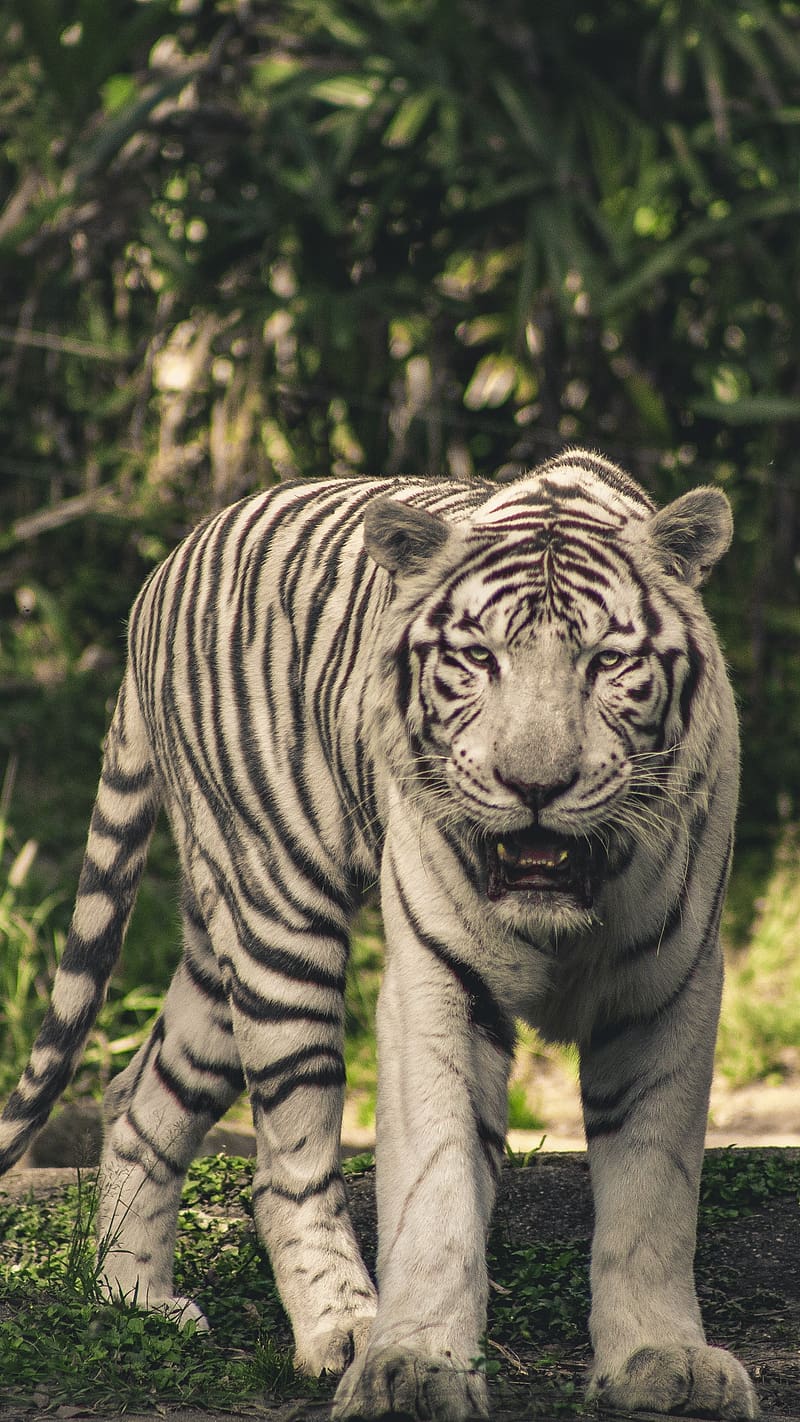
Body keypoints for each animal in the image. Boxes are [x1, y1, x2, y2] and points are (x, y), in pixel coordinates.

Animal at [0, 449, 755, 1416]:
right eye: (478, 659)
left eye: (608, 662)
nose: (535, 785)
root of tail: (160, 573)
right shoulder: (434, 981)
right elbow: (435, 1187)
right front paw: (413, 1365)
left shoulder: (669, 987)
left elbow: (654, 1194)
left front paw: (662, 1360)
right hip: (276, 916)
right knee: (284, 1166)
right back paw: (343, 1328)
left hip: (218, 942)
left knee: (142, 1096)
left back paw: (135, 1301)